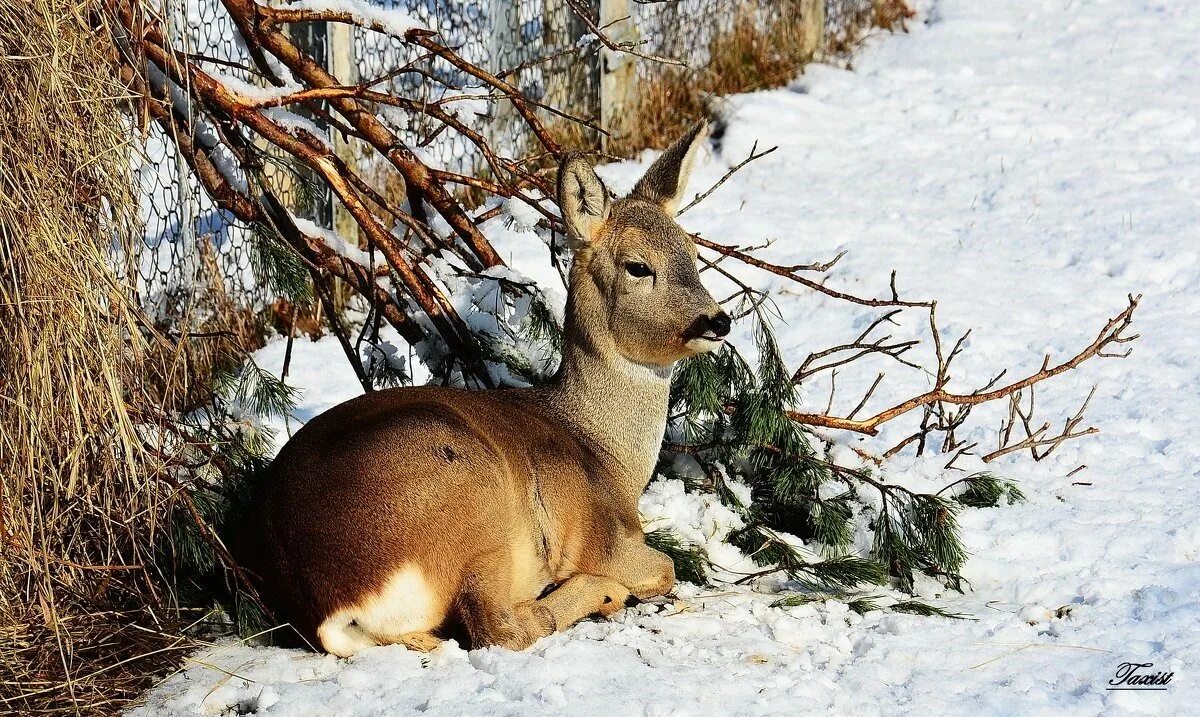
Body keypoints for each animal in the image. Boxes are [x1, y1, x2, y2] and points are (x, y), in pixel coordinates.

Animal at [248, 122, 724, 657]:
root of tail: (334, 603)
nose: (718, 321)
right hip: (471, 497)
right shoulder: (600, 535)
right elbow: (663, 567)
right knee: (496, 628)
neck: (603, 452)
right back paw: (593, 593)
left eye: (694, 256)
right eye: (638, 266)